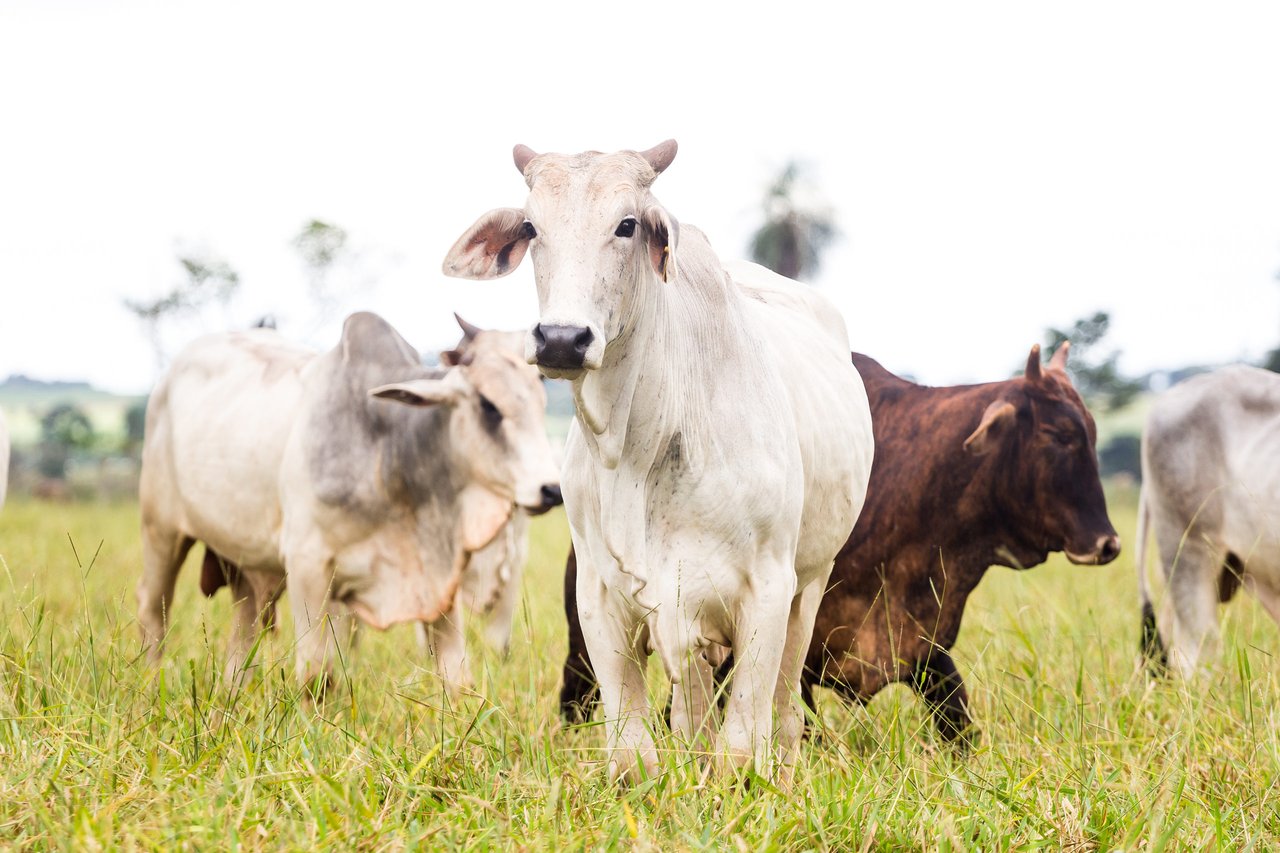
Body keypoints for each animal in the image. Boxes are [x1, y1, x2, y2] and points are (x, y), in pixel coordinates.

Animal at [137, 311, 561, 692]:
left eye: (541, 401)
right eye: (488, 405)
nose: (552, 489)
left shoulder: (439, 577)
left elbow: (457, 675)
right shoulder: (307, 567)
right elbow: (317, 674)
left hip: (245, 562)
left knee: (244, 628)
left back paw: (232, 693)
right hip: (160, 532)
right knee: (153, 615)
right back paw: (151, 687)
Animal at [443, 140, 874, 782]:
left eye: (627, 225)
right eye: (531, 227)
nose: (561, 339)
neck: (642, 447)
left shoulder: (768, 588)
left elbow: (742, 745)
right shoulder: (601, 595)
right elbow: (632, 752)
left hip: (810, 583)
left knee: (784, 710)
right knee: (693, 714)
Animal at [561, 344, 1121, 746]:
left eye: (1091, 433)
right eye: (1059, 434)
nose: (1108, 544)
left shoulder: (921, 645)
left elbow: (959, 725)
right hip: (586, 639)